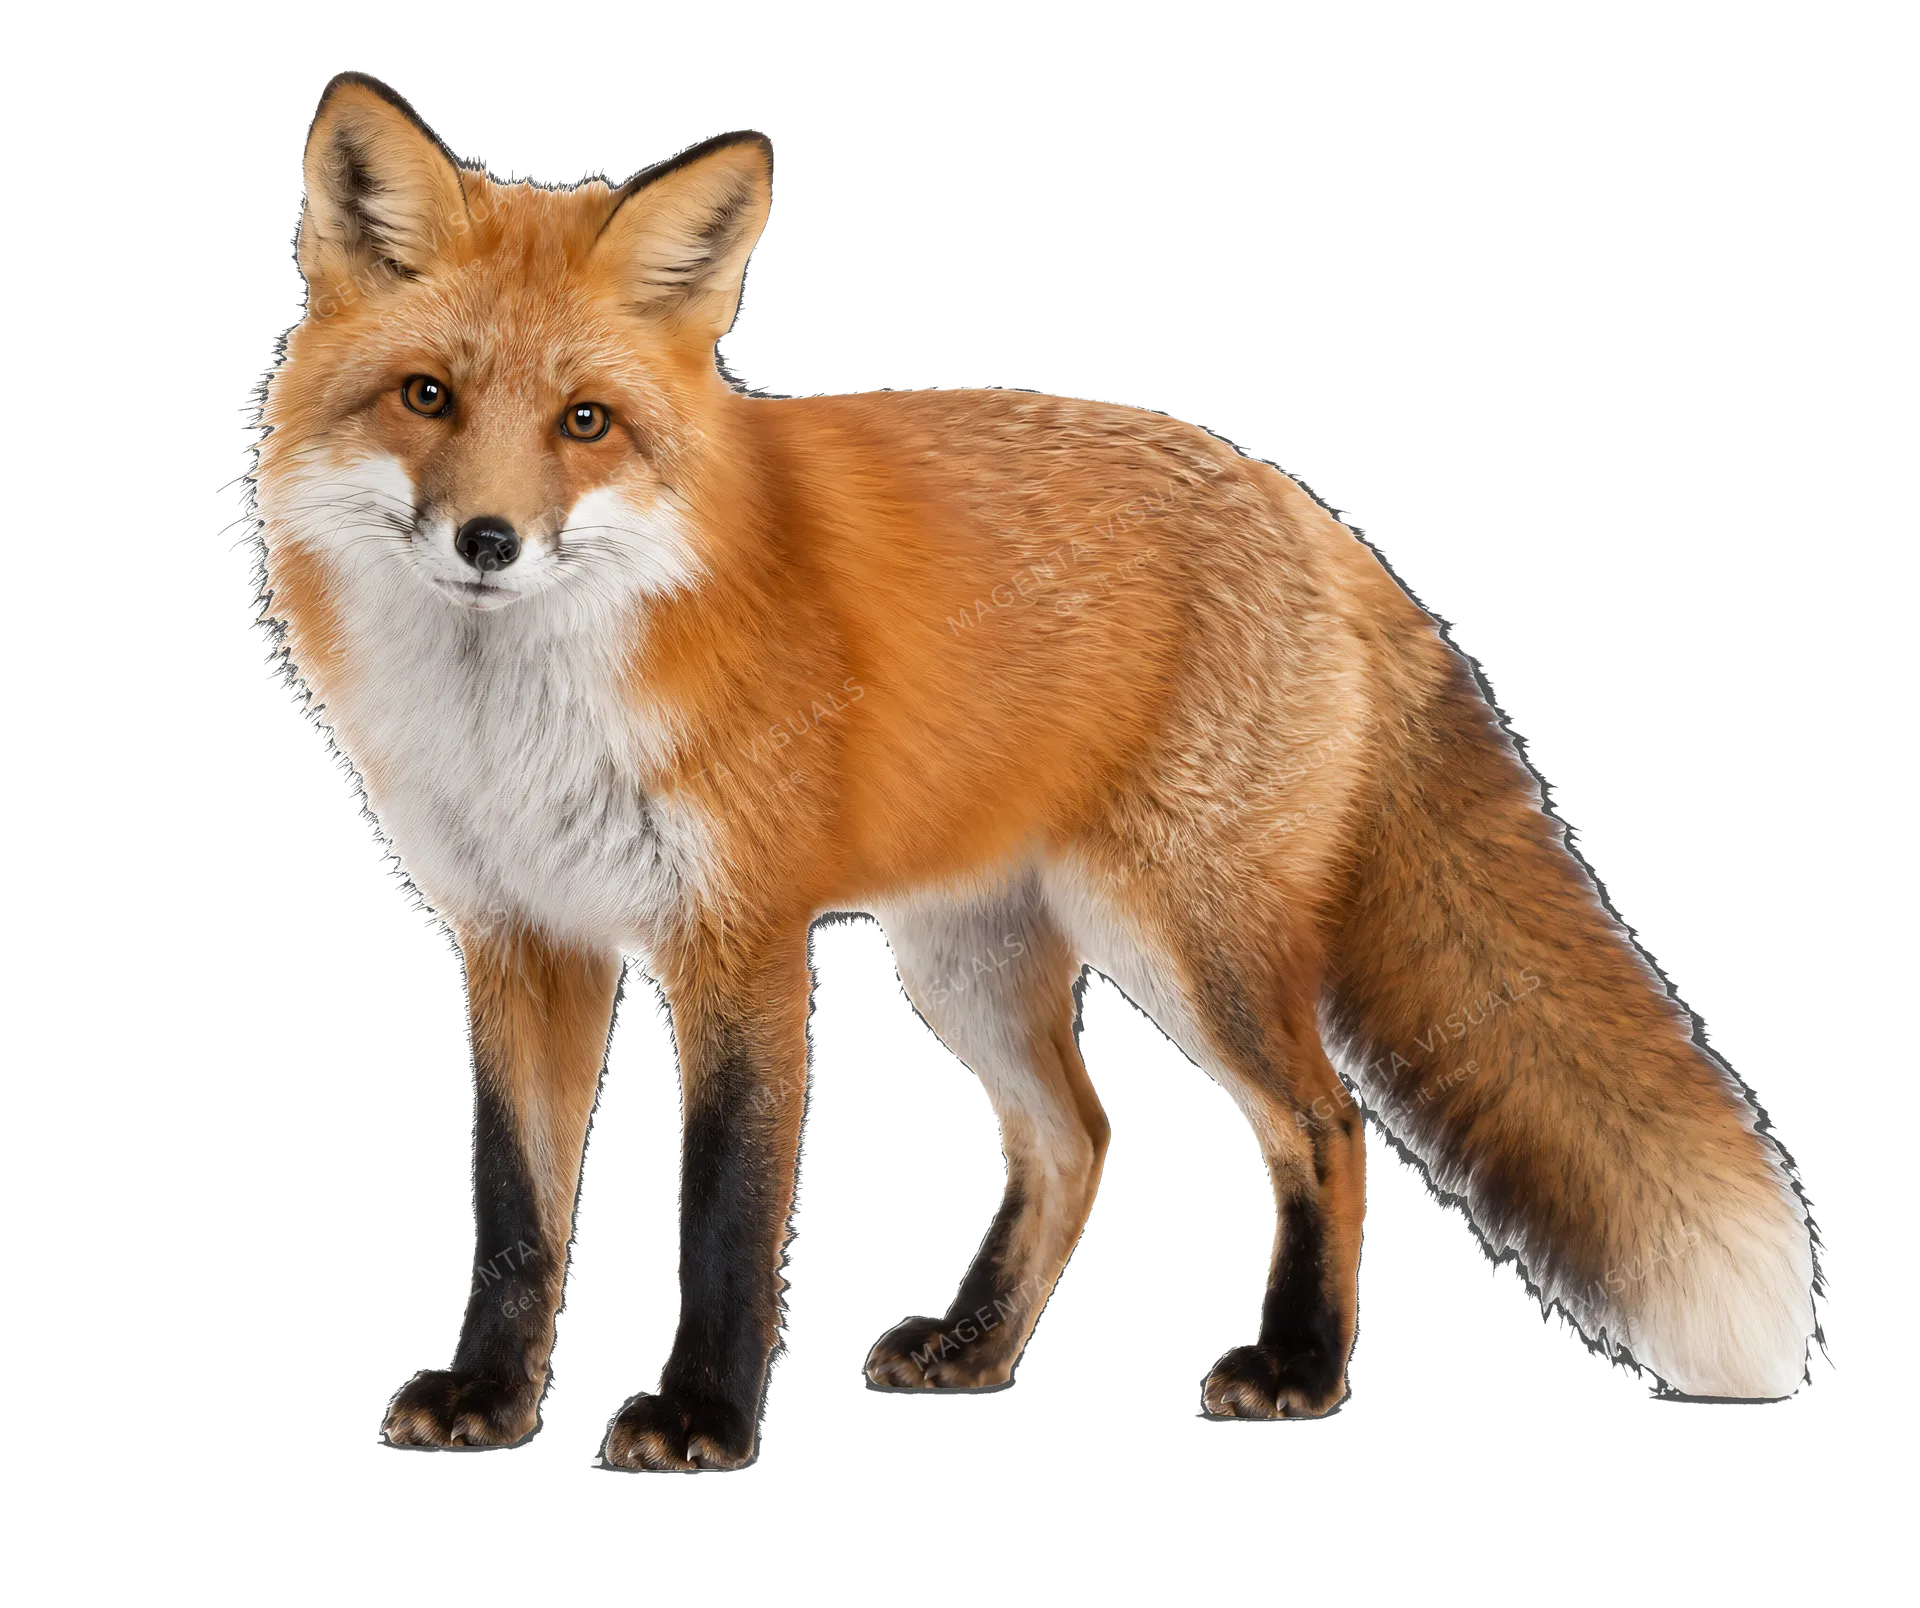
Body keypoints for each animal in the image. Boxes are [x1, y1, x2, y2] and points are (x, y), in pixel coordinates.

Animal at [254, 73, 1817, 1466]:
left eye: (585, 422)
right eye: (427, 397)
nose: (490, 542)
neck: (526, 709)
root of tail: (1305, 507)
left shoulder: (738, 936)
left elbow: (727, 1203)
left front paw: (700, 1419)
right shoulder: (521, 934)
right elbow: (518, 1209)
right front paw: (489, 1397)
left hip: (1190, 942)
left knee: (1322, 1126)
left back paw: (1299, 1369)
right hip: (964, 955)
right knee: (1077, 1138)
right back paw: (976, 1347)